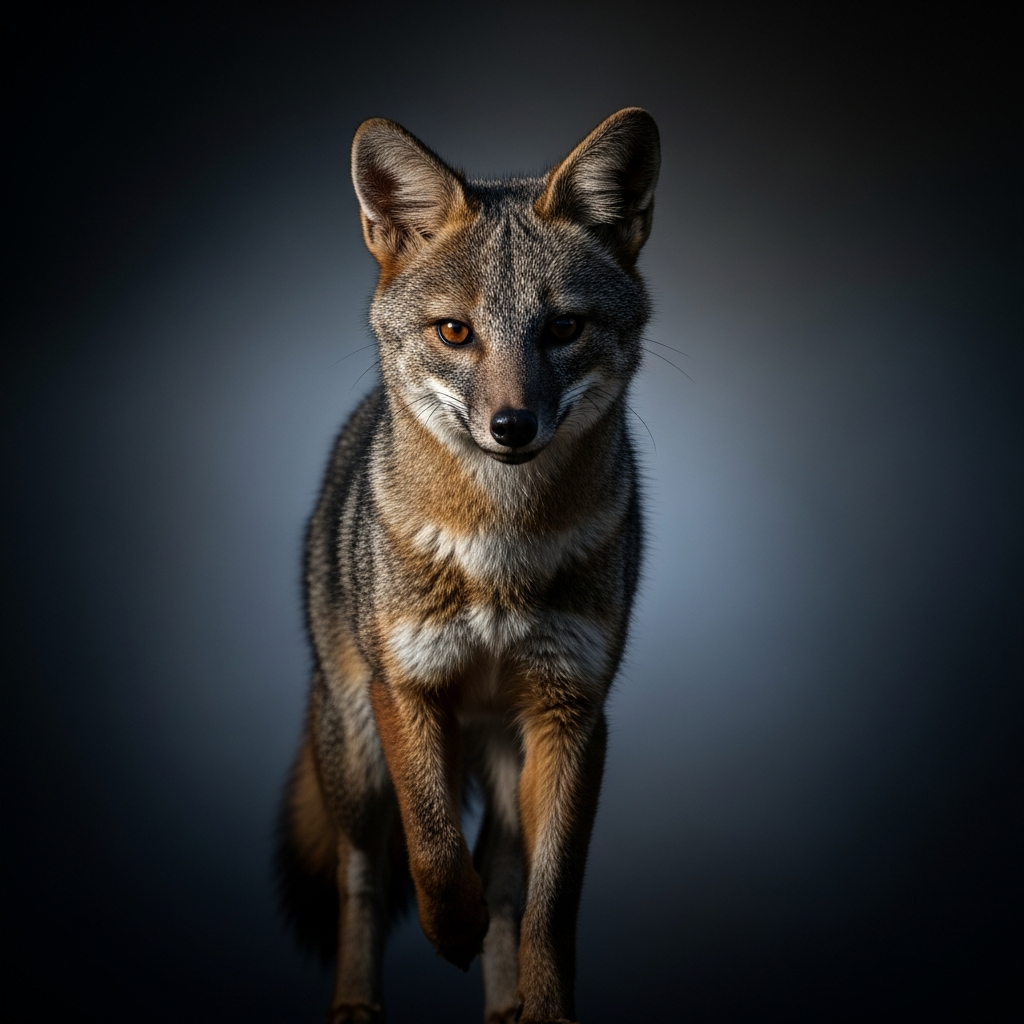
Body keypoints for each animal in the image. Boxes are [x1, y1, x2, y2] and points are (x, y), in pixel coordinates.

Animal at [277, 107, 661, 1024]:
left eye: (563, 328)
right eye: (456, 331)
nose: (511, 426)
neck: (498, 551)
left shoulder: (571, 715)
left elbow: (547, 903)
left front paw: (545, 1008)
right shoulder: (408, 690)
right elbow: (432, 846)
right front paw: (447, 930)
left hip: (506, 751)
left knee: (505, 879)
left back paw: (503, 1007)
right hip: (356, 753)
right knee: (363, 873)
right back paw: (356, 1003)